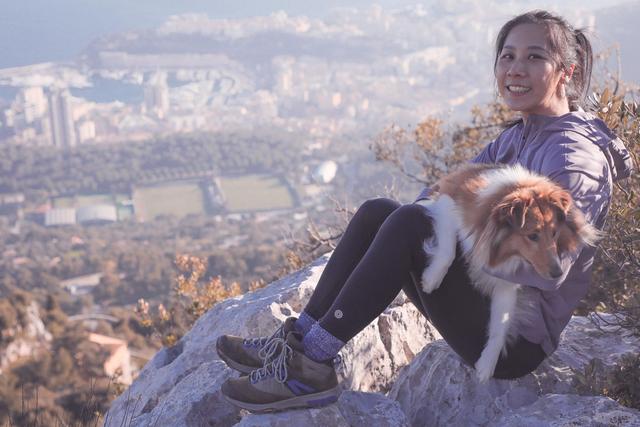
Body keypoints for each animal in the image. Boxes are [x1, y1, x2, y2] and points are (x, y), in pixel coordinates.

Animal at [416, 163, 600, 382]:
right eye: (533, 236)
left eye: (554, 233)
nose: (557, 273)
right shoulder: (447, 199)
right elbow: (448, 250)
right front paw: (431, 278)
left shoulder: (507, 284)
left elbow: (500, 327)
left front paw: (487, 364)